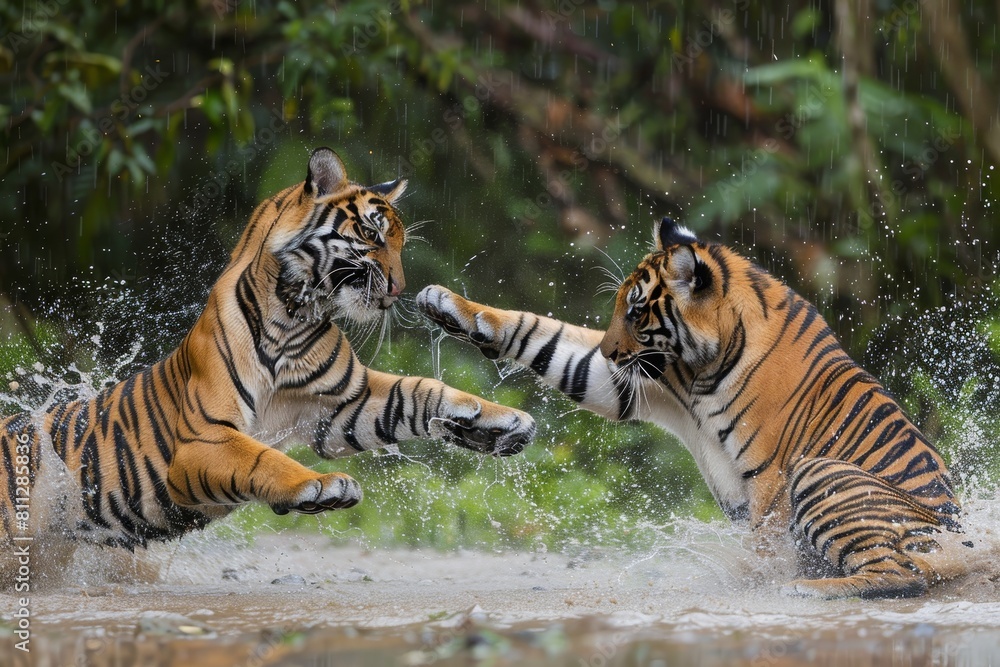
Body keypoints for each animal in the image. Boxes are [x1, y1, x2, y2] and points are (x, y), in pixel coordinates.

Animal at [0, 147, 535, 585]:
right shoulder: (204, 438)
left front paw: (500, 421)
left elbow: (420, 391)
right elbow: (263, 458)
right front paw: (320, 485)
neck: (296, 314)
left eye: (401, 243)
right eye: (371, 235)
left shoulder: (342, 407)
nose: (399, 290)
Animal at [417, 216, 968, 599]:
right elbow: (541, 334)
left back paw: (806, 587)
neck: (706, 363)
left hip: (822, 471)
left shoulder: (770, 476)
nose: (609, 352)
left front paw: (760, 580)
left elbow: (765, 538)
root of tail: (962, 544)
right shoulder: (635, 384)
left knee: (904, 574)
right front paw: (447, 305)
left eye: (637, 310)